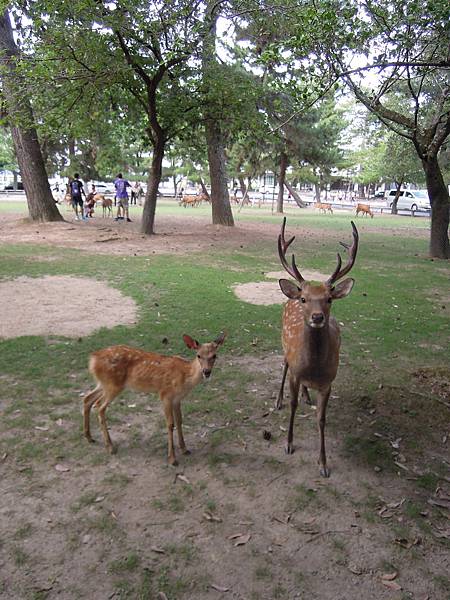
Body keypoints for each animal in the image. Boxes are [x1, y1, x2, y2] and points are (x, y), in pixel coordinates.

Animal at [81, 332, 225, 464]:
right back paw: (110, 447)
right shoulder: (165, 394)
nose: (206, 372)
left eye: (214, 355)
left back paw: (89, 437)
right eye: (198, 355)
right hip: (113, 385)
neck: (185, 378)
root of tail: (92, 359)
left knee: (87, 399)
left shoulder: (177, 399)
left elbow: (179, 421)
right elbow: (170, 424)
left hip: (103, 383)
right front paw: (172, 458)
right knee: (100, 406)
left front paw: (185, 449)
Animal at [274, 218, 358, 476]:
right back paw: (278, 400)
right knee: (283, 365)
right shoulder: (295, 371)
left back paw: (307, 395)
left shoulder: (328, 382)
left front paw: (323, 463)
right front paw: (289, 443)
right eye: (305, 299)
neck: (313, 367)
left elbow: (321, 419)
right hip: (284, 346)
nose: (317, 317)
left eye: (329, 299)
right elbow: (292, 406)